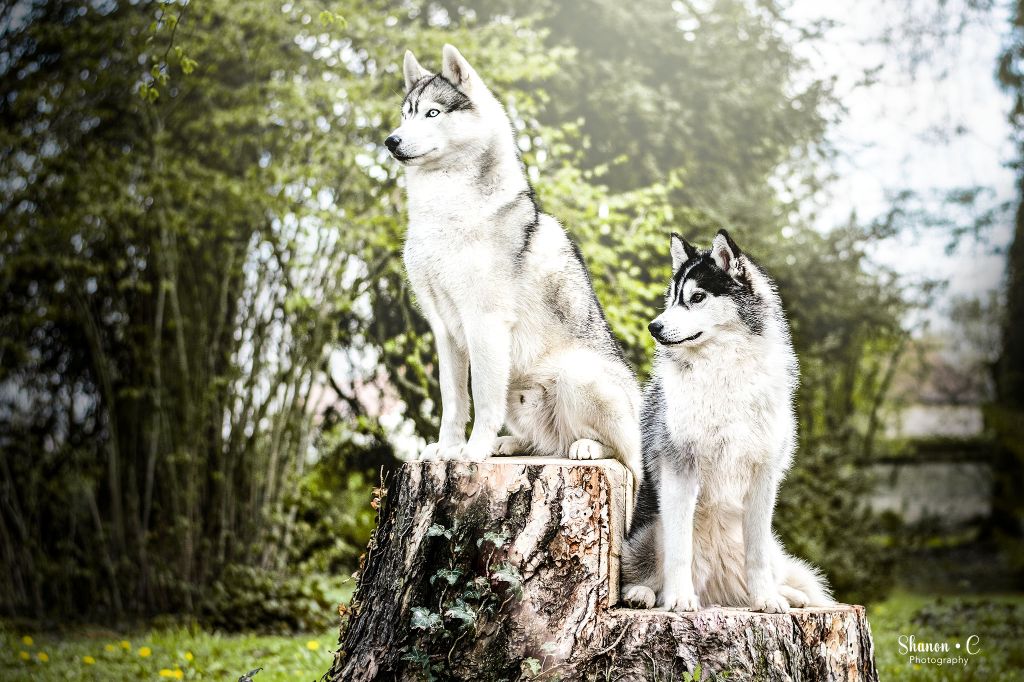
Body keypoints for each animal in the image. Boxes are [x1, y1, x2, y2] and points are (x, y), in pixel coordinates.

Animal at [385, 45, 638, 477]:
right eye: (406, 114)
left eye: (433, 113)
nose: (391, 140)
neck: (442, 211)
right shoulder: (444, 329)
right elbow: (453, 401)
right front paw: (445, 449)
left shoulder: (484, 323)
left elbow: (482, 398)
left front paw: (472, 452)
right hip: (520, 398)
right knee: (547, 442)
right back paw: (512, 445)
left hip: (574, 375)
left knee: (621, 454)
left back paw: (586, 447)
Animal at [614, 231, 831, 614]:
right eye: (672, 298)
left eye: (697, 297)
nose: (654, 327)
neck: (723, 371)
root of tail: (716, 591)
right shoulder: (679, 470)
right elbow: (679, 549)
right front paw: (679, 598)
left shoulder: (763, 478)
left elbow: (756, 555)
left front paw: (766, 600)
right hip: (649, 530)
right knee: (644, 574)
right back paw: (644, 594)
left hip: (766, 545)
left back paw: (788, 595)